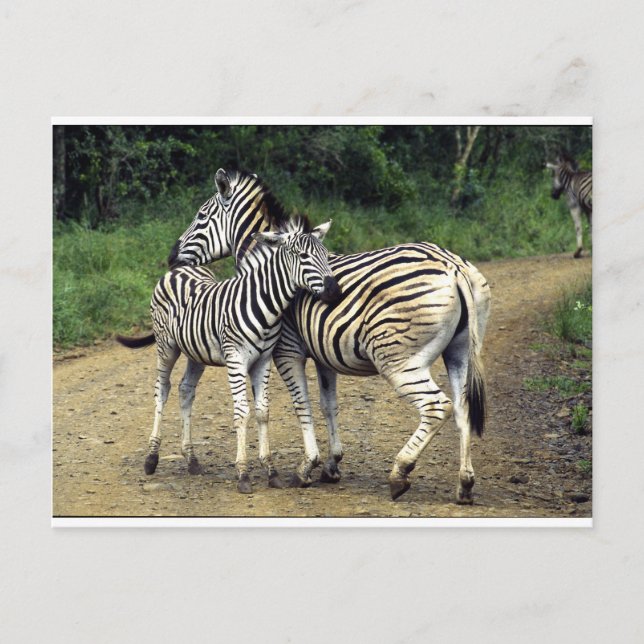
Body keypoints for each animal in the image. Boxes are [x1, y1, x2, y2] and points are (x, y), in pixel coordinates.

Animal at [117, 214, 340, 494]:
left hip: (196, 352)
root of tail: (179, 269)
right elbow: (242, 413)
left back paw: (191, 459)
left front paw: (271, 472)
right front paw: (243, 474)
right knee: (162, 389)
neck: (265, 304)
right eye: (302, 256)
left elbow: (262, 411)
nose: (334, 291)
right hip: (166, 346)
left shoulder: (263, 360)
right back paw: (151, 458)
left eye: (325, 255)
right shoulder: (236, 359)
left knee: (185, 390)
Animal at [169, 169, 491, 504]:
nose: (171, 256)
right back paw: (464, 484)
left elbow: (302, 405)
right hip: (459, 353)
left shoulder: (287, 351)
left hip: (398, 360)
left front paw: (306, 467)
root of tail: (452, 265)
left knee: (437, 406)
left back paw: (399, 473)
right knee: (463, 409)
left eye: (201, 215)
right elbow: (328, 405)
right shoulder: (325, 353)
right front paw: (332, 465)